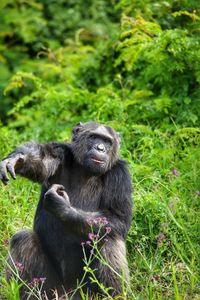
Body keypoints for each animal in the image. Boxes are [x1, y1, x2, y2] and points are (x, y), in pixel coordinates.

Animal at [0, 120, 133, 298]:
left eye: (107, 141)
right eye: (94, 137)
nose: (100, 148)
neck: (87, 171)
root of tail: (69, 293)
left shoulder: (121, 176)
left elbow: (118, 218)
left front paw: (62, 207)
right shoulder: (60, 154)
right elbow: (43, 160)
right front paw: (18, 159)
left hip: (85, 290)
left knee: (109, 239)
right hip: (50, 287)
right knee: (22, 239)